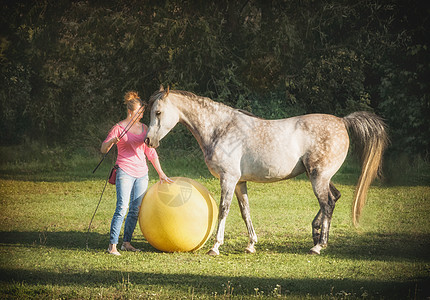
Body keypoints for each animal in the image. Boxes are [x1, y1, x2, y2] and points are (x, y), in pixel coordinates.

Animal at [145, 86, 390, 255]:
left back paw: (318, 245)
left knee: (328, 203)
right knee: (335, 197)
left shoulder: (228, 179)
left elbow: (224, 210)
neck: (220, 128)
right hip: (320, 176)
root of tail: (342, 121)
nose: (148, 141)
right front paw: (251, 245)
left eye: (158, 113)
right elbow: (245, 212)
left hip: (318, 177)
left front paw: (215, 247)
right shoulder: (239, 182)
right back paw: (315, 232)